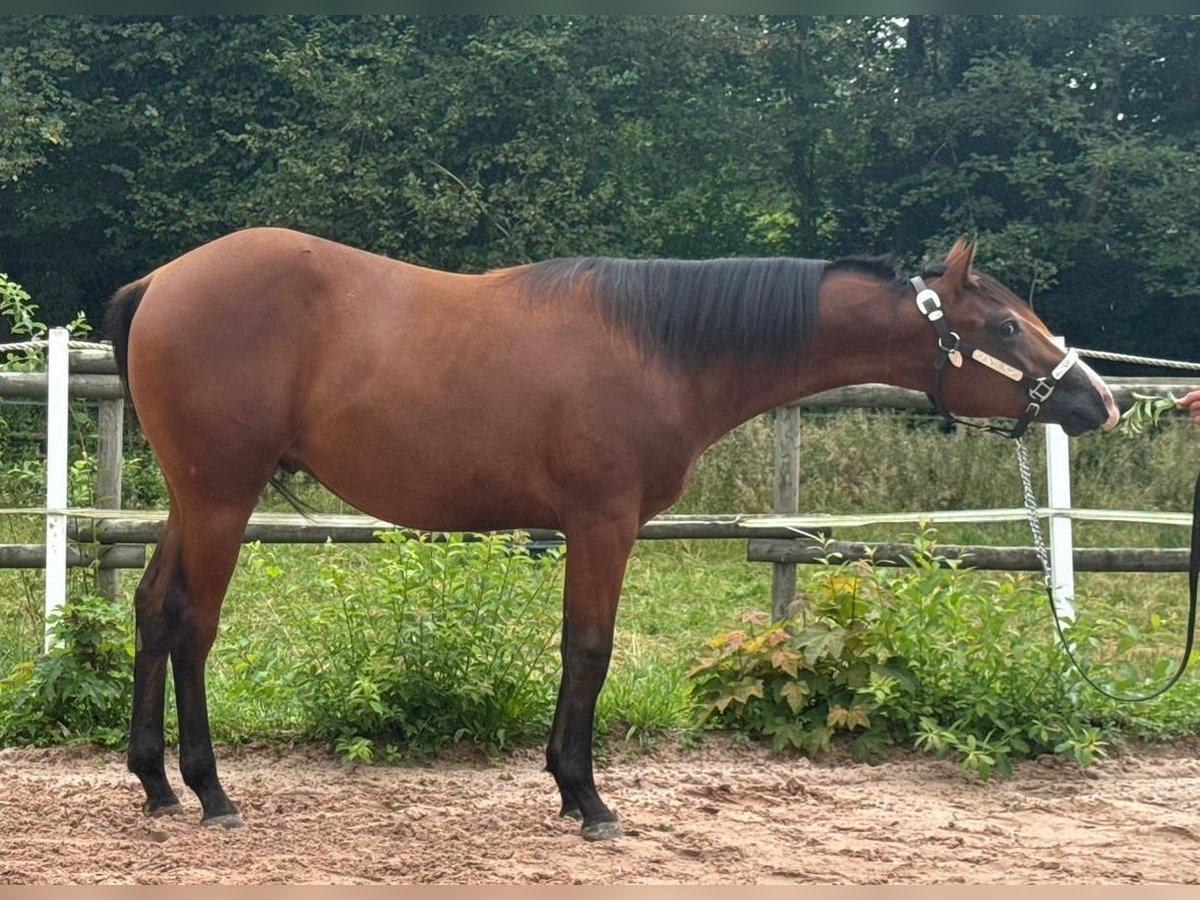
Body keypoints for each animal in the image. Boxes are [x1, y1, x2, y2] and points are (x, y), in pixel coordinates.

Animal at [105, 229, 1123, 844]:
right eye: (1004, 324)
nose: (1098, 401)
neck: (662, 346)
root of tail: (162, 280)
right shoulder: (603, 523)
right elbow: (588, 649)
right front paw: (585, 796)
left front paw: (571, 788)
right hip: (222, 497)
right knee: (194, 627)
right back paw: (209, 792)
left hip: (191, 499)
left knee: (152, 610)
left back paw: (154, 782)